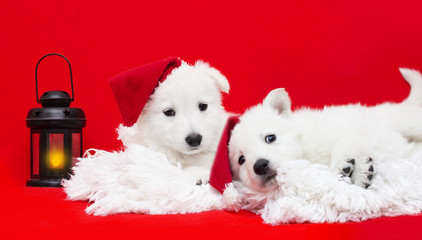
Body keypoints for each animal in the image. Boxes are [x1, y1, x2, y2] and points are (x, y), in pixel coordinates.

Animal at [229, 68, 422, 192]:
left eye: (270, 138)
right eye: (241, 159)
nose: (260, 165)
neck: (306, 154)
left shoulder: (350, 126)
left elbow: (343, 144)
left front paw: (347, 168)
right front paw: (360, 172)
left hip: (404, 120)